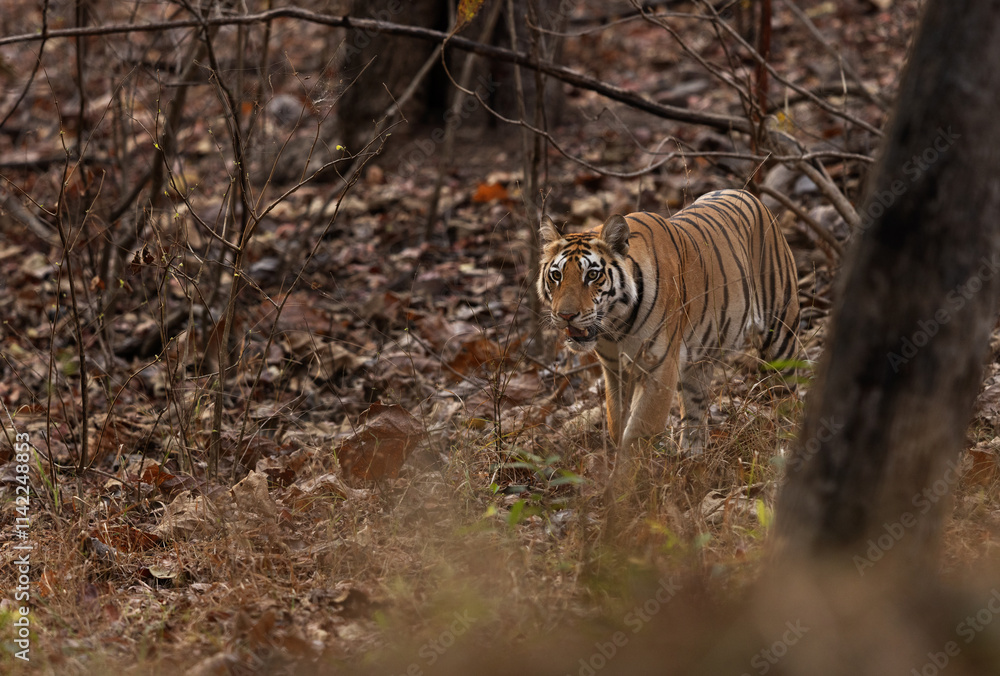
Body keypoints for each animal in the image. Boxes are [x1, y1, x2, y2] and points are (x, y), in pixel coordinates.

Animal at [537, 188, 799, 479]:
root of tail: (748, 194)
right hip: (699, 363)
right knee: (695, 413)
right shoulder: (616, 371)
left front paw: (624, 482)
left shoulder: (660, 367)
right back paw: (691, 461)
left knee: (788, 398)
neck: (616, 325)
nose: (565, 315)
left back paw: (784, 450)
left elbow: (638, 430)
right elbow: (617, 423)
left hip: (781, 337)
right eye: (556, 276)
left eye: (592, 275)